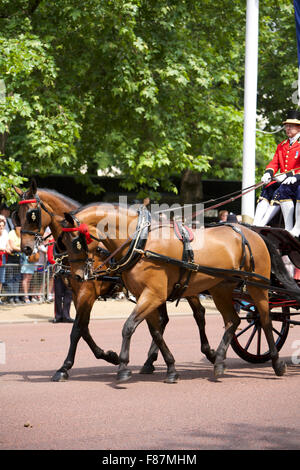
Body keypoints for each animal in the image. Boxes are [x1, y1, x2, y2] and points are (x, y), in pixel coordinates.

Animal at [14, 180, 216, 382]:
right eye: (18, 215)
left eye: (32, 215)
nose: (26, 248)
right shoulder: (77, 292)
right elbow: (83, 328)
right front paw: (109, 356)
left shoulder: (87, 292)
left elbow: (77, 329)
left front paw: (65, 367)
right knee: (163, 320)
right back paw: (150, 361)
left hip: (186, 288)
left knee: (199, 314)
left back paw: (209, 353)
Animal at [58, 204, 290, 384]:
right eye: (63, 243)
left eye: (75, 242)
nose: (77, 276)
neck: (141, 242)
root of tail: (253, 233)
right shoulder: (147, 296)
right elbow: (155, 332)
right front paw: (170, 368)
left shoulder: (152, 295)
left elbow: (128, 327)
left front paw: (122, 366)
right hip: (220, 289)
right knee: (232, 320)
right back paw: (219, 361)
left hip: (257, 287)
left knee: (265, 320)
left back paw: (277, 363)